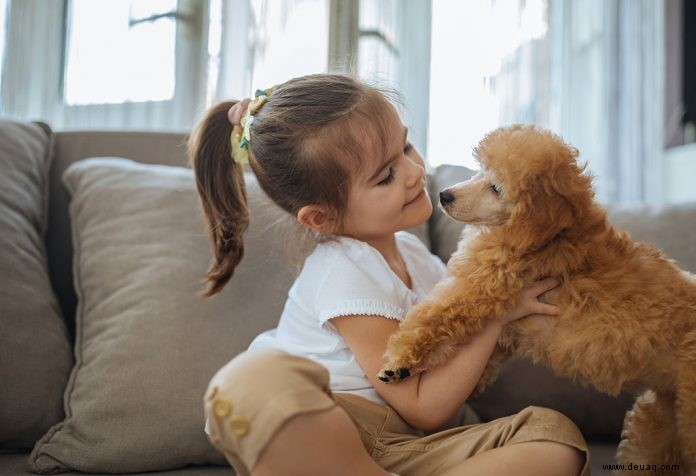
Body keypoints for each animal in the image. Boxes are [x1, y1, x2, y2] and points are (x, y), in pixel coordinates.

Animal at [378, 124, 696, 474]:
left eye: (496, 188)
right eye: (481, 169)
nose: (444, 195)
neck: (550, 236)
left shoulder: (481, 290)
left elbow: (435, 316)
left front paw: (400, 361)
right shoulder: (506, 321)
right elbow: (482, 350)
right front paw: (470, 381)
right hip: (657, 420)